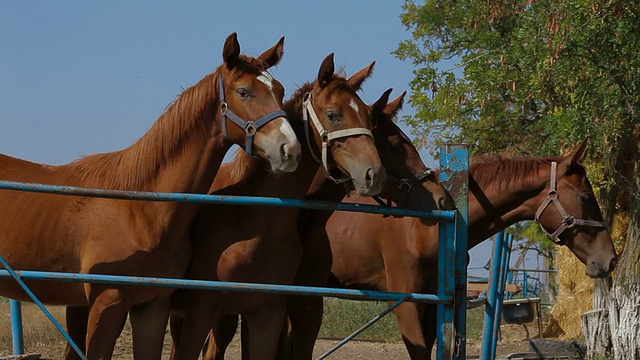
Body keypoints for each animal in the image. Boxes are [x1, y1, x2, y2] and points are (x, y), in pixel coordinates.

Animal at [0, 33, 300, 360]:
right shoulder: (107, 304)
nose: (290, 149)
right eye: (243, 92)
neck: (141, 208)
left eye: (280, 91)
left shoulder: (152, 307)